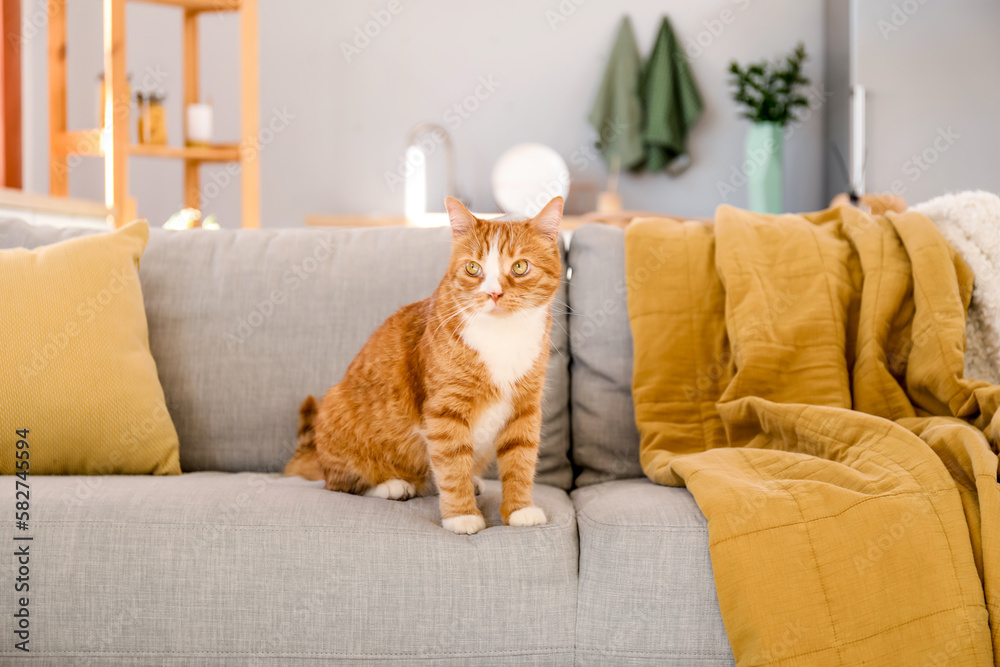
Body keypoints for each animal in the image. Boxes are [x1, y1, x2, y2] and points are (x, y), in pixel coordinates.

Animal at [286, 196, 564, 536]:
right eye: (473, 268)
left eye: (520, 267)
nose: (493, 293)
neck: (502, 336)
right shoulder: (445, 411)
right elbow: (452, 465)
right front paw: (461, 516)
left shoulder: (524, 408)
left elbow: (520, 462)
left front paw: (519, 510)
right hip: (336, 409)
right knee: (342, 484)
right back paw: (393, 485)